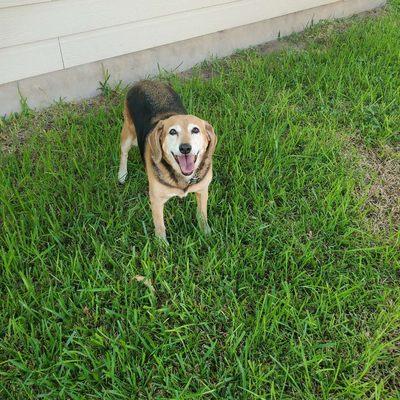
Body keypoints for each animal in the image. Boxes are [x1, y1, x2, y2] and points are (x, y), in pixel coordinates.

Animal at [118, 80, 217, 242]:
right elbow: (160, 226)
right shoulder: (156, 200)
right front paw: (162, 245)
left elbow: (202, 214)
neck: (183, 178)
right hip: (128, 134)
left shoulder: (202, 191)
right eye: (172, 132)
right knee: (124, 153)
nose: (185, 148)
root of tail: (144, 81)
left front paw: (206, 233)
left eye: (195, 130)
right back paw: (121, 174)